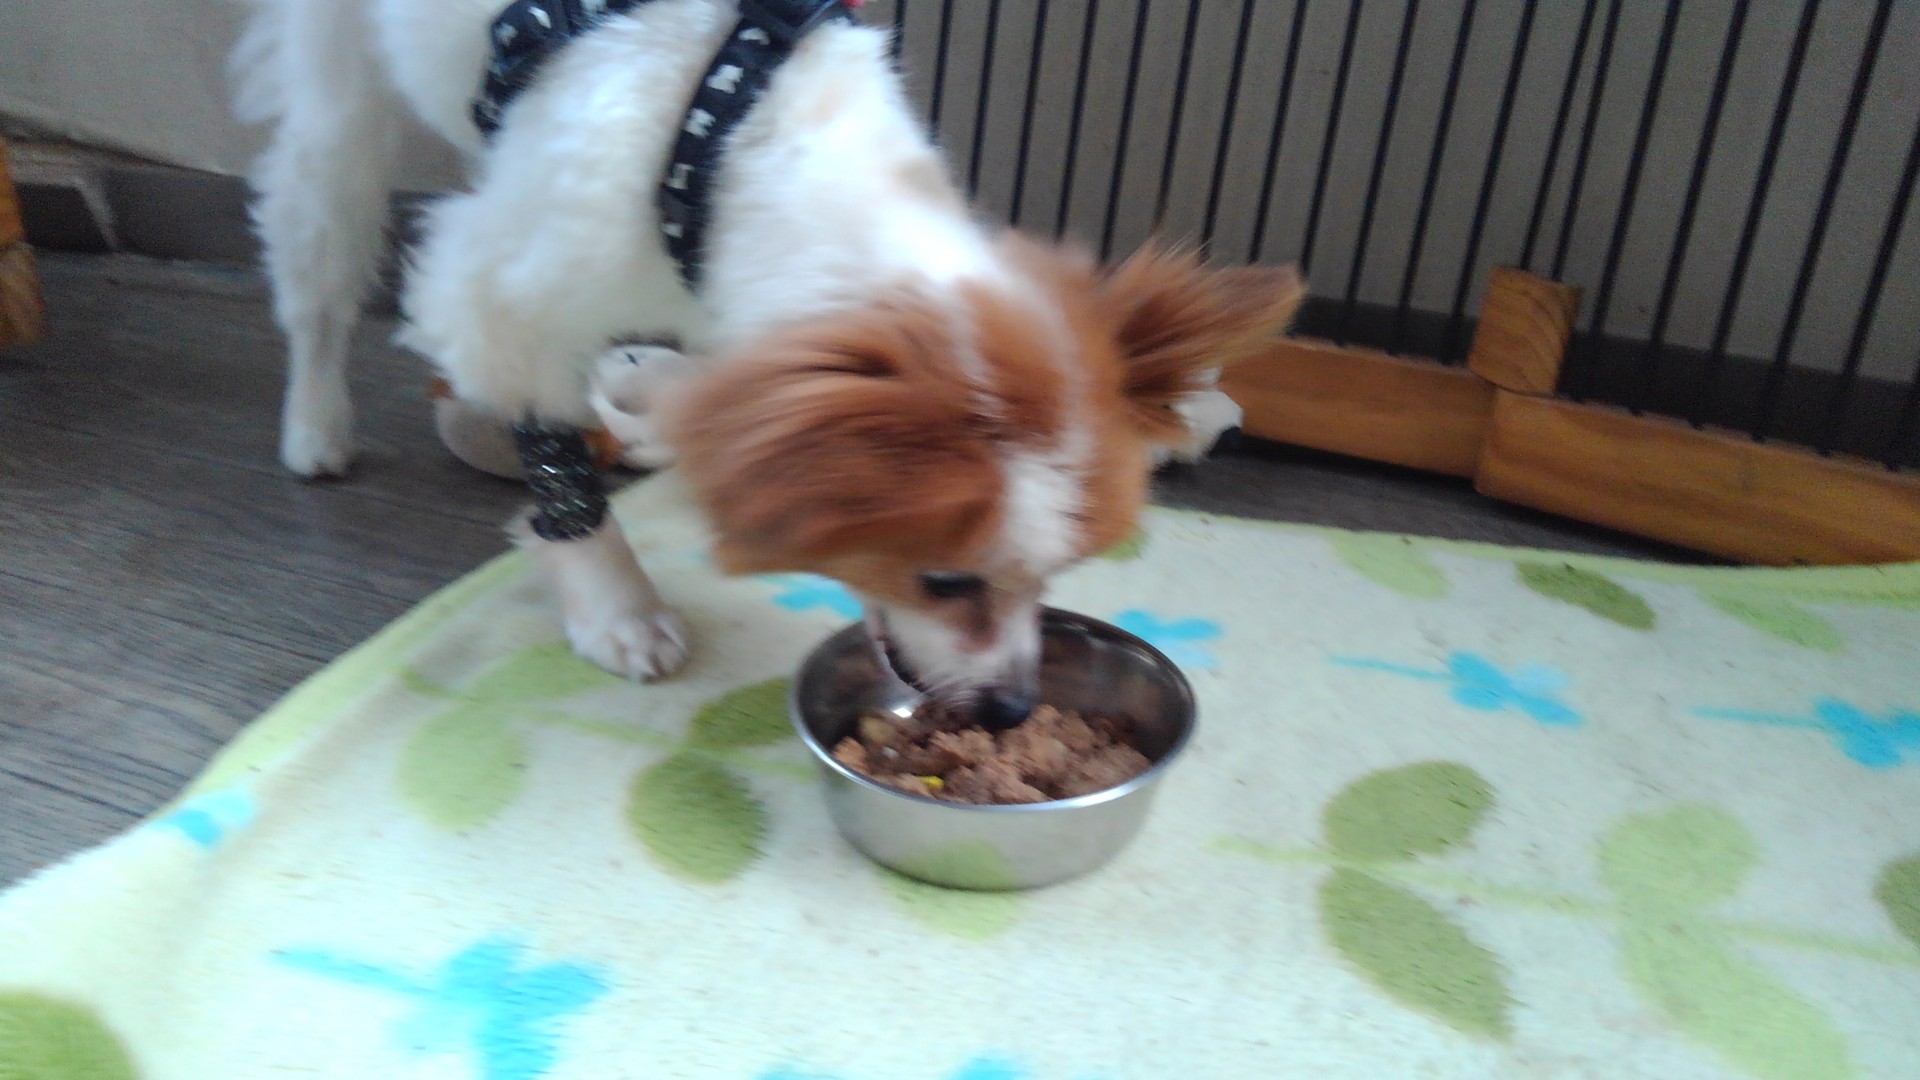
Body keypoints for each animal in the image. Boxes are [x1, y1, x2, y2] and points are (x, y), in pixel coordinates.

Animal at [236, 0, 1302, 725]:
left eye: (1059, 575)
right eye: (942, 580)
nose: (1010, 710)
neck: (734, 125)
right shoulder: (499, 295)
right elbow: (551, 450)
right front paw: (616, 603)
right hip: (341, 105)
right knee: (314, 257)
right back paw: (315, 426)